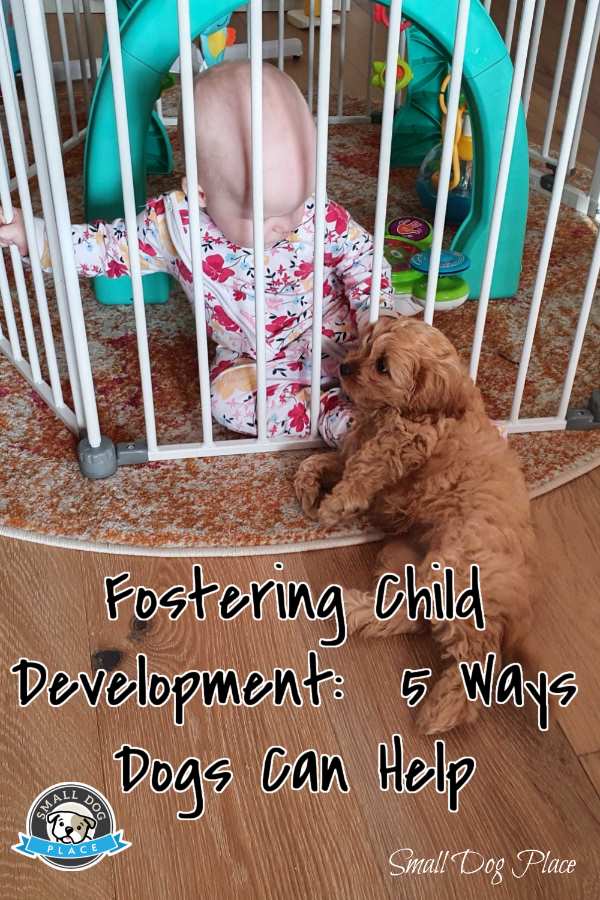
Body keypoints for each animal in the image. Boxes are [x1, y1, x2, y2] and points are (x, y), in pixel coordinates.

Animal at [296, 316, 536, 732]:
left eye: (382, 366)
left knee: (476, 650)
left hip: (454, 566)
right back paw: (357, 610)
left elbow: (366, 465)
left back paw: (446, 707)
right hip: (414, 560)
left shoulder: (405, 441)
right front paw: (309, 487)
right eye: (365, 344)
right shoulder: (355, 447)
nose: (344, 368)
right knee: (412, 611)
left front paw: (336, 504)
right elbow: (322, 460)